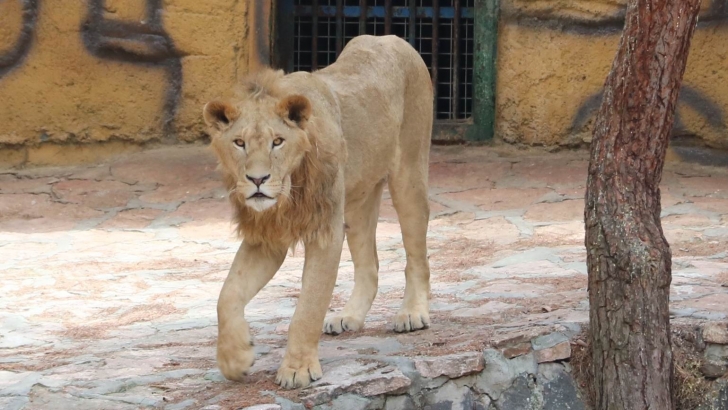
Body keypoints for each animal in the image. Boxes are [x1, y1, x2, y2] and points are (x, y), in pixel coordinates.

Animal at [202, 35, 433, 389]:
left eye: (278, 141)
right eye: (239, 142)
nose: (258, 179)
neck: (288, 193)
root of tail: (390, 38)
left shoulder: (325, 232)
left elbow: (308, 306)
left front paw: (297, 369)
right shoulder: (266, 238)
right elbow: (227, 295)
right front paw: (234, 359)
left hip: (408, 173)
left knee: (417, 257)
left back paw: (412, 313)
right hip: (357, 201)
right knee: (370, 265)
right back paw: (349, 317)